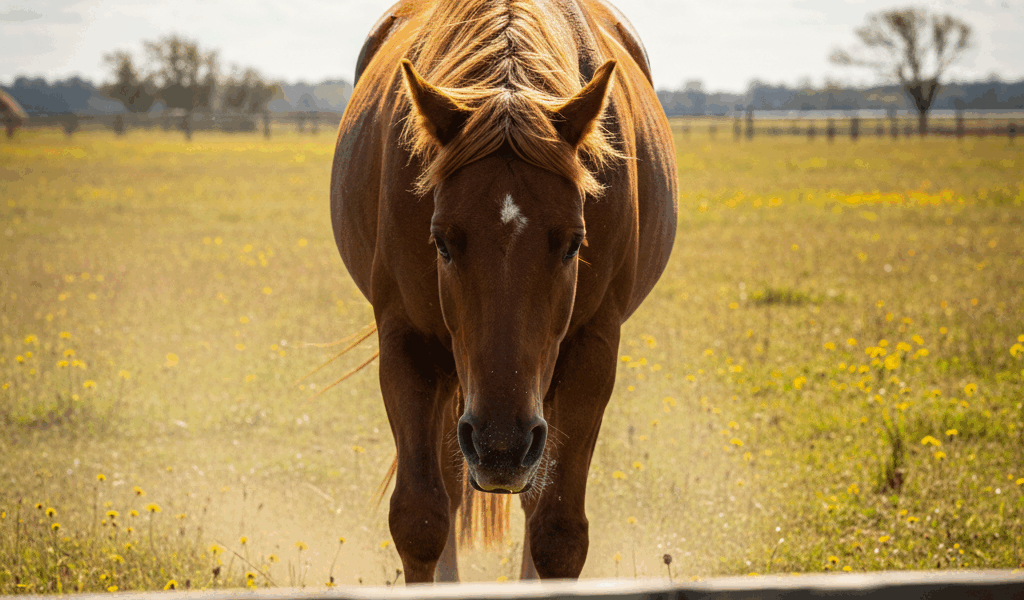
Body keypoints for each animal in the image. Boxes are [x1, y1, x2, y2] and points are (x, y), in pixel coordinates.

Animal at [330, 0, 677, 583]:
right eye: (441, 241)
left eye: (574, 242)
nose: (500, 447)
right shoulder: (408, 344)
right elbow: (420, 519)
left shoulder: (592, 352)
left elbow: (558, 532)